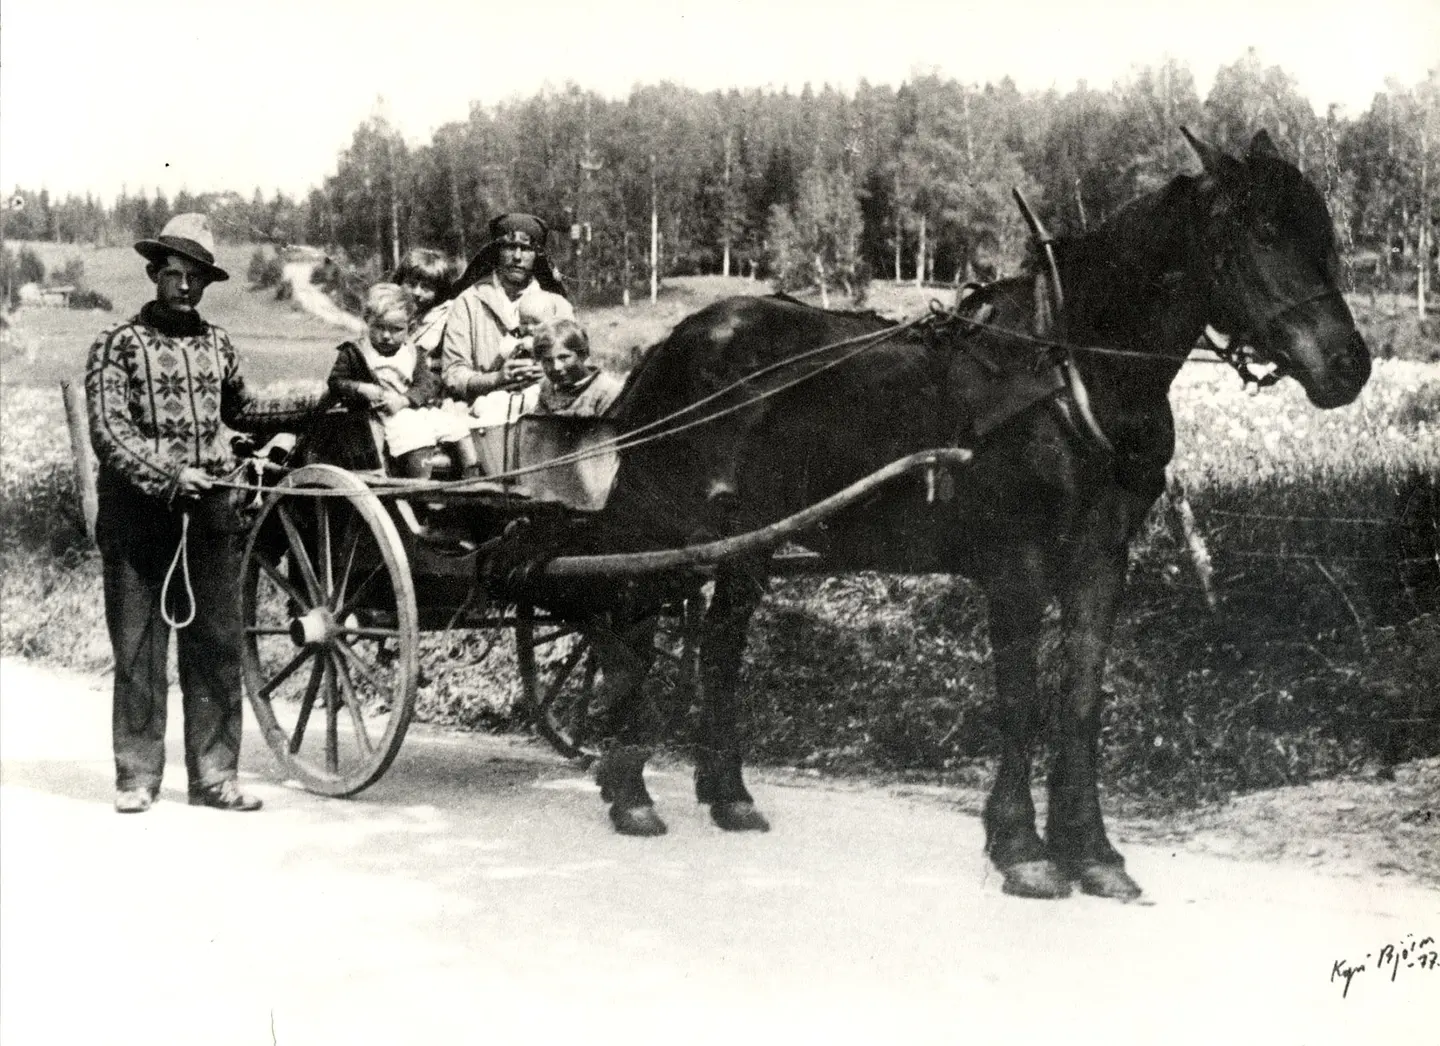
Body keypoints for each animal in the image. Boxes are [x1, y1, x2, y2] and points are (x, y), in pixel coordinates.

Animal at [541, 128, 1370, 899]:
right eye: (1260, 232)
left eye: (1320, 232)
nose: (1348, 365)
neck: (1069, 371)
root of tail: (671, 344)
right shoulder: (1016, 567)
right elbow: (1020, 702)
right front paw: (1023, 848)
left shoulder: (1101, 561)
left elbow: (1080, 704)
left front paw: (1094, 852)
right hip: (665, 531)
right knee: (630, 636)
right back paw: (630, 789)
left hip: (746, 544)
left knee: (718, 651)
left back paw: (728, 794)